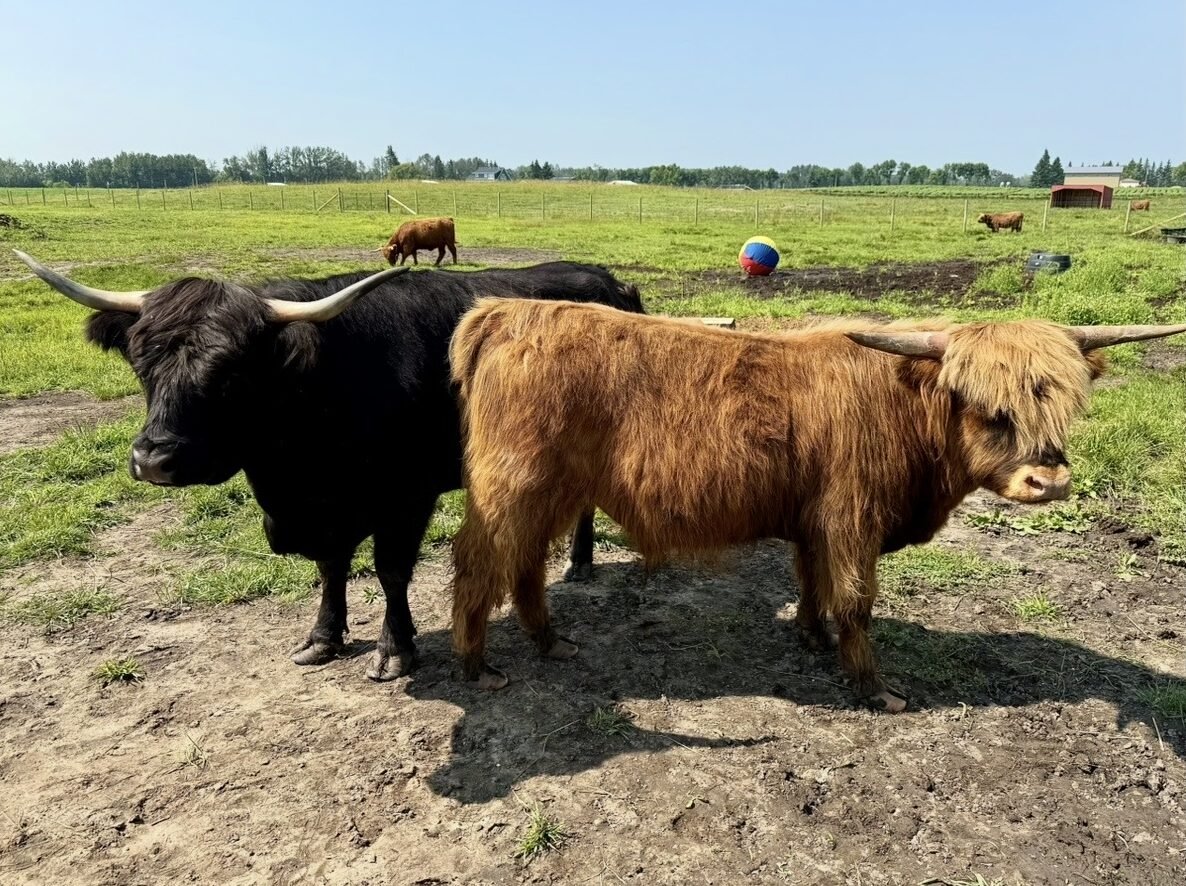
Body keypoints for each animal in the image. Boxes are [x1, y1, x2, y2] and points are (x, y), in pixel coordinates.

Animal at [14, 251, 646, 681]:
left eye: (231, 373)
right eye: (142, 365)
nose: (154, 458)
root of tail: (606, 278)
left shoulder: (405, 498)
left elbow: (390, 571)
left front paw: (396, 649)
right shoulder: (324, 512)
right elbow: (331, 568)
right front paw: (323, 636)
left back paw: (581, 563)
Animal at [445, 298, 1186, 711]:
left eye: (1062, 405)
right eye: (989, 410)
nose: (1048, 482)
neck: (904, 407)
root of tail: (508, 309)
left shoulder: (812, 519)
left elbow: (812, 581)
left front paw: (810, 634)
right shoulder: (852, 517)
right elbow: (855, 599)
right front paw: (872, 687)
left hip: (554, 492)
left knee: (527, 566)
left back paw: (551, 642)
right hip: (511, 486)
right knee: (479, 564)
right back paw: (478, 666)